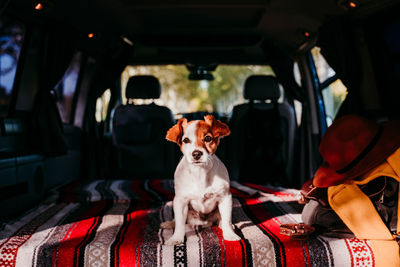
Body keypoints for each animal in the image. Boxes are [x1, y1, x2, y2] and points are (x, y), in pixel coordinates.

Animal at [160, 114, 241, 246]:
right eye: (186, 140)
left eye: (208, 138)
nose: (196, 153)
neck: (200, 173)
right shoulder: (180, 201)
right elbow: (180, 223)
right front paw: (176, 238)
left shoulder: (225, 198)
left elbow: (227, 218)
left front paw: (229, 233)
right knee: (178, 220)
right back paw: (170, 223)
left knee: (222, 219)